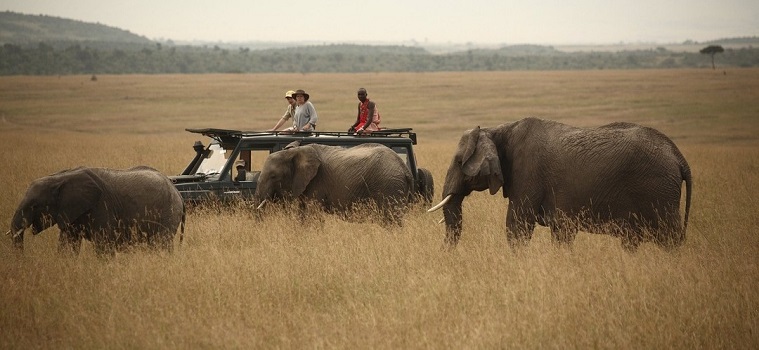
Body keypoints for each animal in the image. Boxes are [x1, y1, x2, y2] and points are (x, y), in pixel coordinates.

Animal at [8, 165, 186, 256]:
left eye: (34, 206)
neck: (60, 177)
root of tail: (177, 192)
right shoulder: (72, 212)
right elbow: (67, 244)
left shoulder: (101, 206)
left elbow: (104, 244)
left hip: (168, 213)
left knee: (161, 244)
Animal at [255, 143, 412, 227]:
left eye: (273, 176)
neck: (295, 151)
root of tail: (405, 168)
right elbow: (303, 213)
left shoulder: (317, 182)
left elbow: (312, 213)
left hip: (389, 185)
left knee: (390, 218)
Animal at [430, 118, 692, 252]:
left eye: (459, 162)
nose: (444, 254)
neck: (496, 129)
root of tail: (679, 157)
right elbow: (560, 232)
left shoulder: (528, 172)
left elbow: (517, 225)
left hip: (659, 190)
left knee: (668, 237)